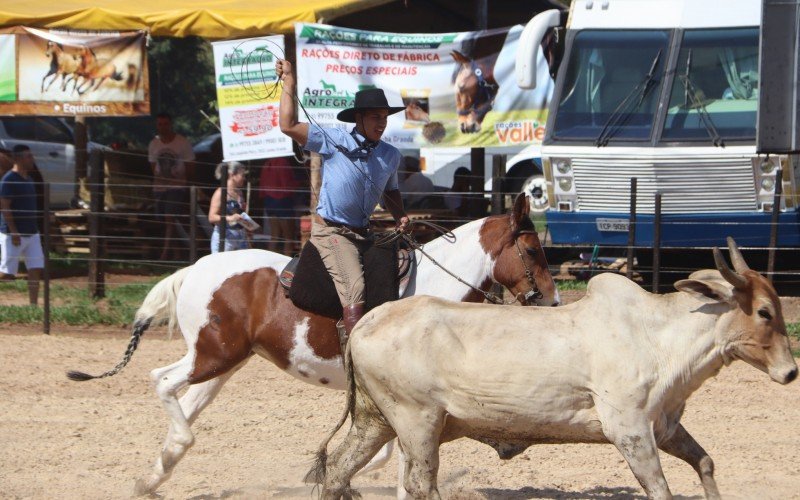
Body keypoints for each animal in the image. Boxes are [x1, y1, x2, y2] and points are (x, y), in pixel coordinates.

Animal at [67, 193, 556, 494]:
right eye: (533, 251)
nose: (551, 301)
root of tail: (195, 269)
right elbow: (396, 454)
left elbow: (394, 454)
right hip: (213, 355)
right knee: (162, 380)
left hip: (224, 362)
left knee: (184, 403)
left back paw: (153, 476)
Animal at [316, 239, 796, 500]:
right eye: (764, 312)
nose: (790, 373)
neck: (659, 336)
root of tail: (366, 324)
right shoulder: (630, 430)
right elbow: (660, 488)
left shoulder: (665, 428)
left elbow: (706, 463)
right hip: (418, 423)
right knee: (420, 485)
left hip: (377, 421)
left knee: (337, 471)